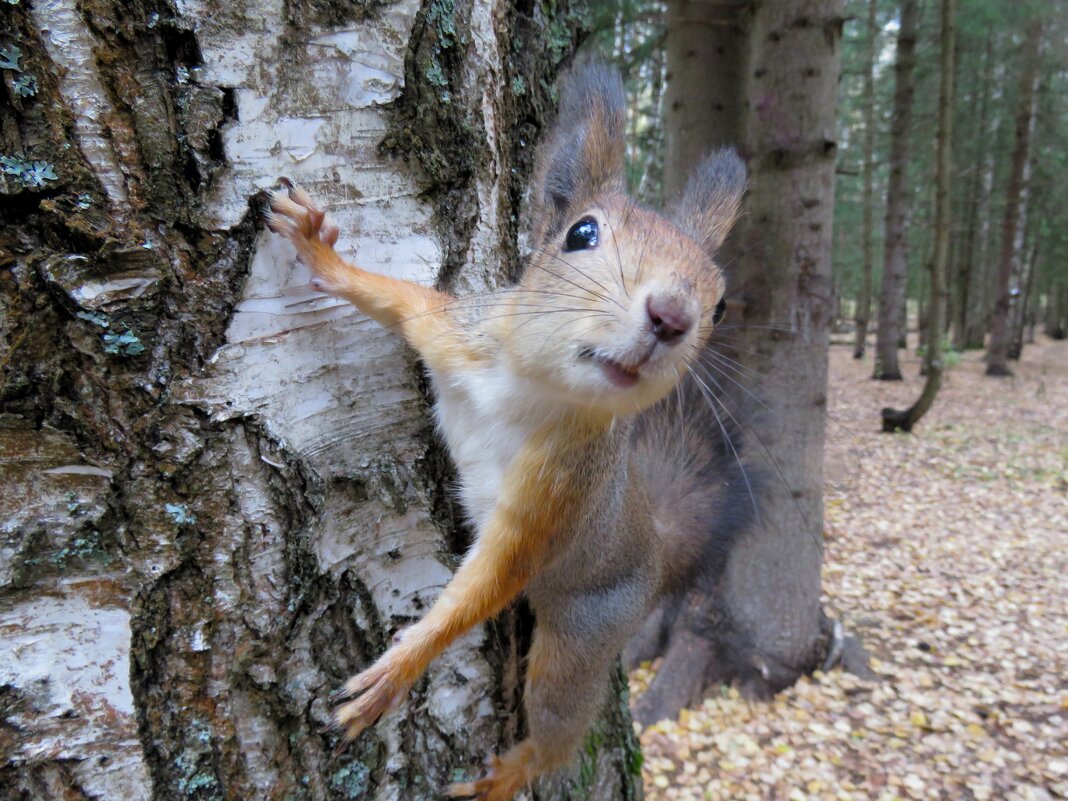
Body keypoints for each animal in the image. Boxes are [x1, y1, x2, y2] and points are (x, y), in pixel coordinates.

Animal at [267, 65, 747, 801]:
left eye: (720, 305)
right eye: (581, 233)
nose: (672, 315)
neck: (529, 386)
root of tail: (653, 548)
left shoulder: (557, 494)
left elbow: (489, 581)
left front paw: (399, 671)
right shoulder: (451, 331)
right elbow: (398, 300)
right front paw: (321, 251)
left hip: (586, 631)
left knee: (559, 721)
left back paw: (509, 773)